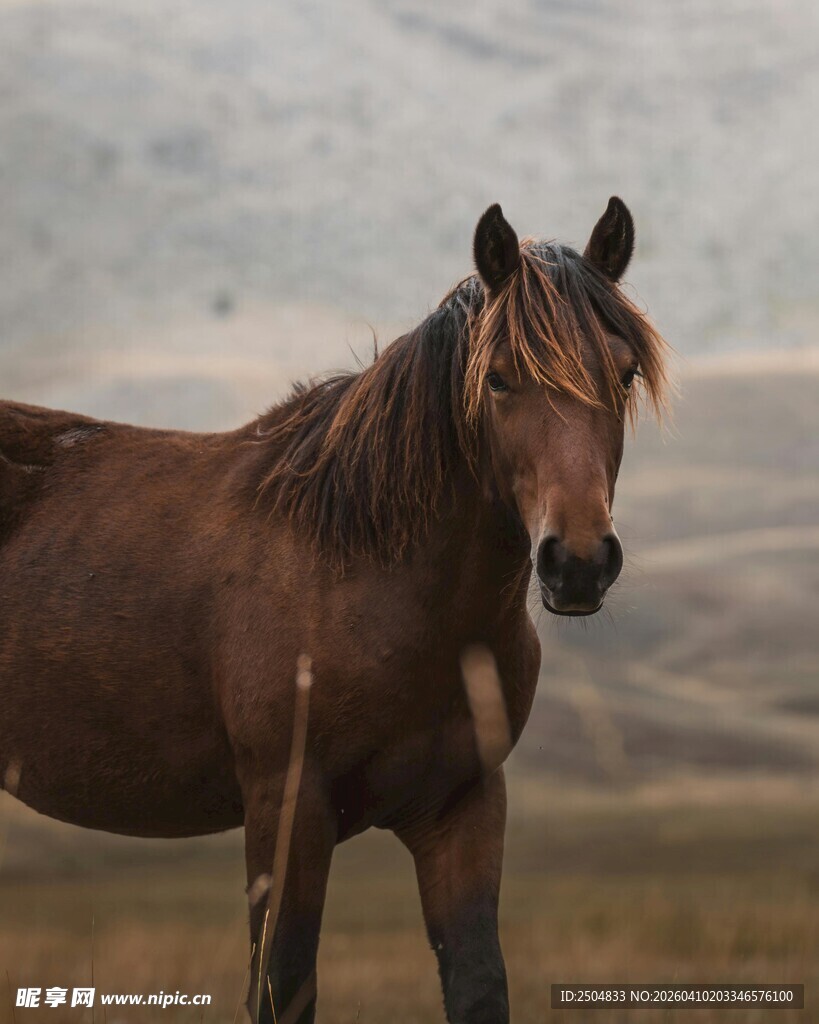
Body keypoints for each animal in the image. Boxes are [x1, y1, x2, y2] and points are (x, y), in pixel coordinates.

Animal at [0, 197, 667, 1023]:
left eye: (624, 371)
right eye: (499, 380)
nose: (576, 562)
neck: (372, 575)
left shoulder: (463, 806)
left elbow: (478, 981)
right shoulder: (287, 807)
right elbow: (282, 984)